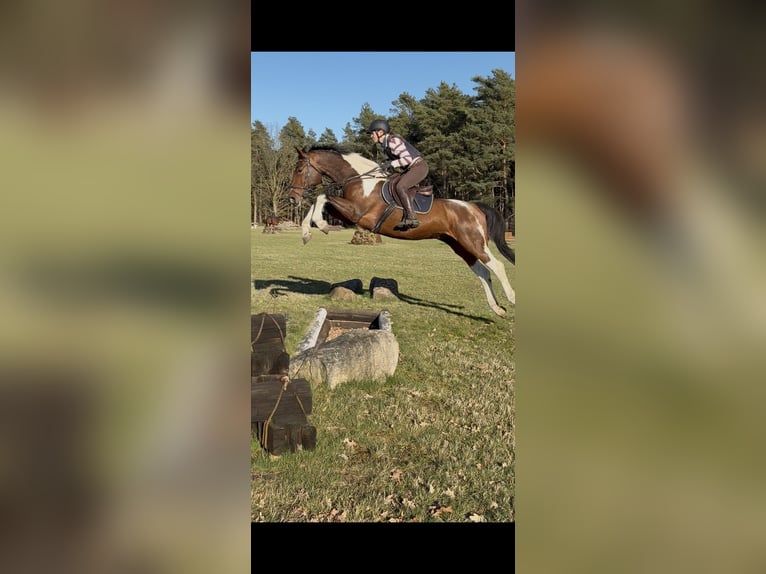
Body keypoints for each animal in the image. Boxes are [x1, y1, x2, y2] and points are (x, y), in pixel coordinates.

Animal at [287, 145, 515, 318]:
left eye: (298, 170)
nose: (292, 198)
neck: (360, 180)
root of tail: (474, 207)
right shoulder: (348, 215)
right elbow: (318, 202)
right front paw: (307, 232)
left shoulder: (356, 213)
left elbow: (321, 197)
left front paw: (321, 225)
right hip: (460, 246)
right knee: (483, 272)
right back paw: (497, 309)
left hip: (473, 241)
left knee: (497, 265)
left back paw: (511, 298)